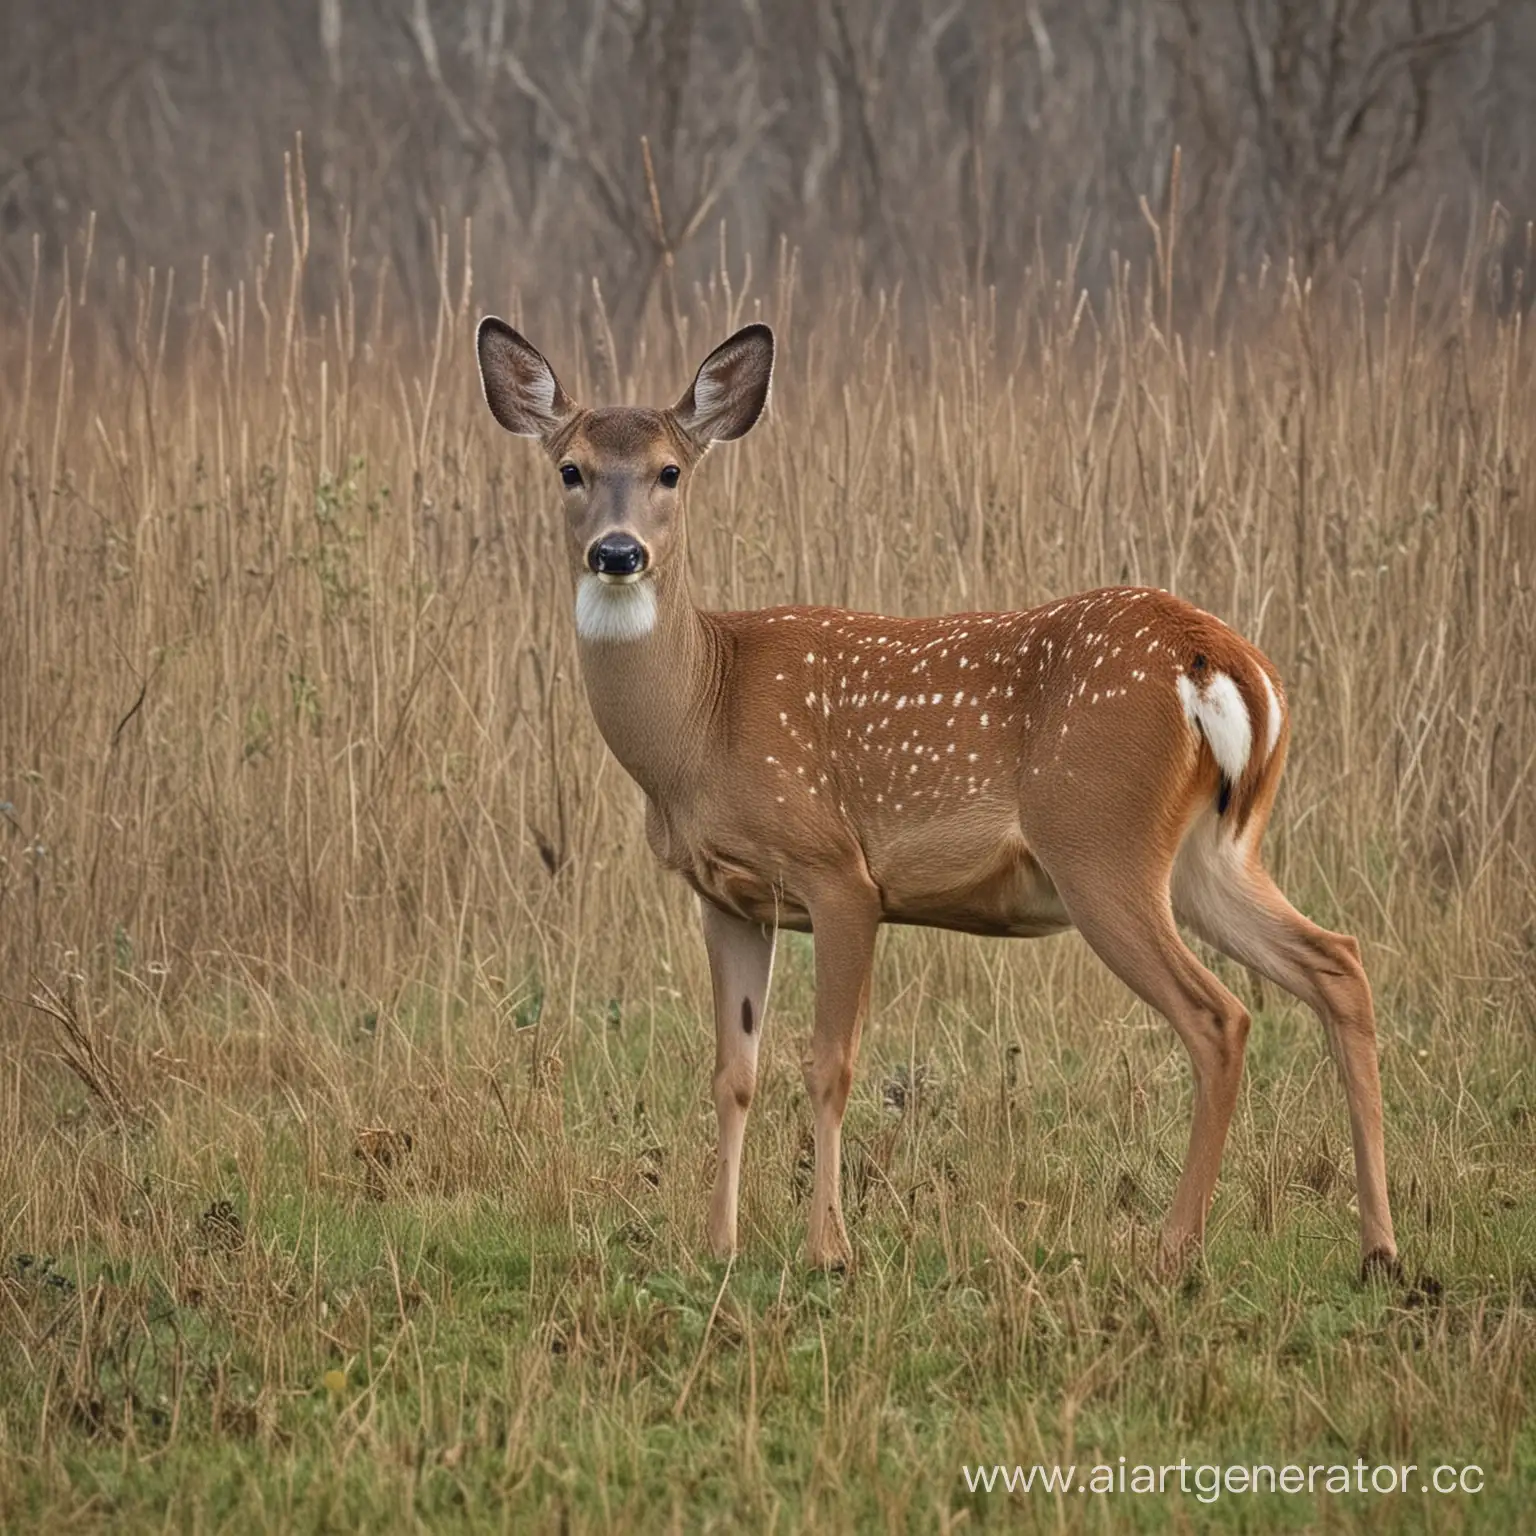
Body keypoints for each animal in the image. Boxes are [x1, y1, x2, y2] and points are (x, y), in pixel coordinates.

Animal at [473, 317, 1400, 1277]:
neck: (702, 717)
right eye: (570, 468)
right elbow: (734, 1072)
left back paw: (1172, 1249)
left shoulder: (839, 873)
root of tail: (1217, 658)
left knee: (1220, 1017)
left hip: (1099, 840)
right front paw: (719, 1245)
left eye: (669, 470)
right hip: (1211, 853)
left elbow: (828, 1064)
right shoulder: (728, 898)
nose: (618, 552)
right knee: (1336, 962)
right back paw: (1379, 1247)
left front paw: (829, 1249)